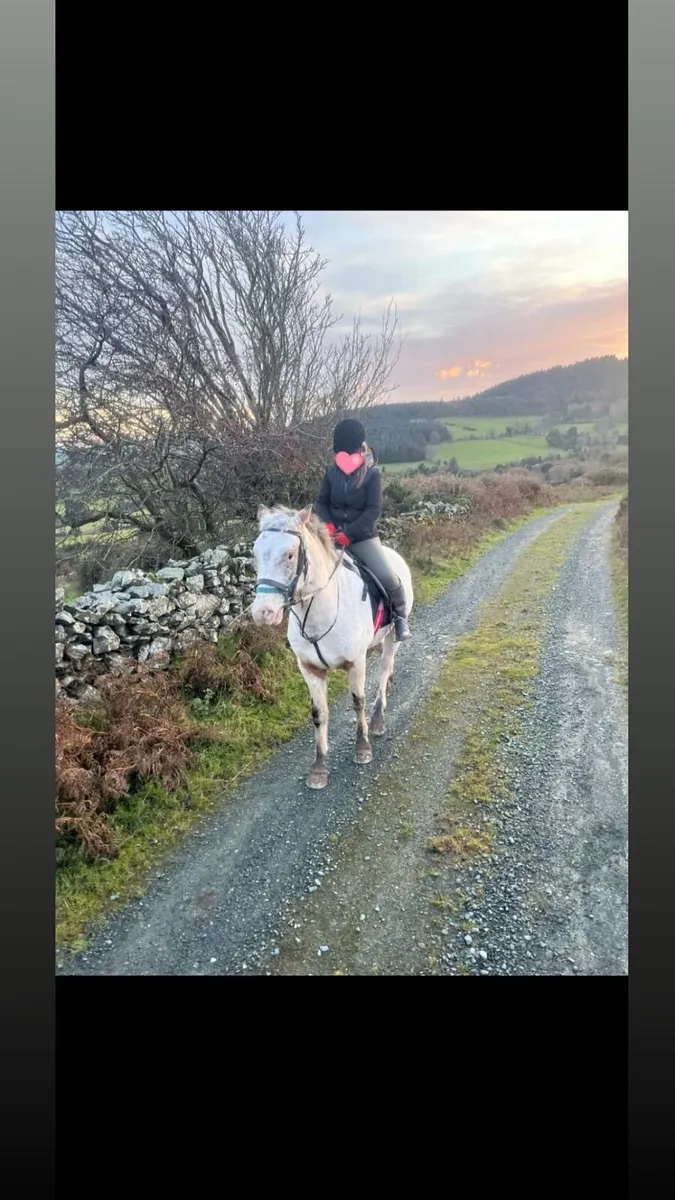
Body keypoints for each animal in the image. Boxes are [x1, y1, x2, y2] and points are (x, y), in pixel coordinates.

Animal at [251, 504, 414, 789]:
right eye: (255, 553)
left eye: (290, 555)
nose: (263, 612)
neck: (319, 612)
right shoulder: (309, 669)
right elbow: (319, 713)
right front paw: (318, 767)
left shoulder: (356, 663)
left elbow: (358, 702)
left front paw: (362, 748)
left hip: (392, 639)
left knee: (384, 671)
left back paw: (378, 719)